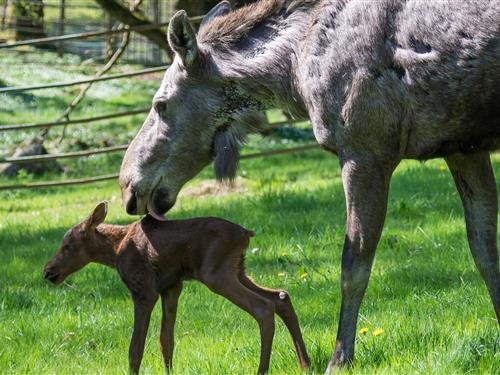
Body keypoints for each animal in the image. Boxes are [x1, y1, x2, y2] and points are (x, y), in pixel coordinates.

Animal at [44, 204, 308, 374]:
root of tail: (246, 234)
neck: (113, 251)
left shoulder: (143, 290)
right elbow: (166, 340)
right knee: (281, 297)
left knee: (263, 307)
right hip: (238, 271)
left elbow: (135, 347)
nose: (48, 271)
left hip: (216, 274)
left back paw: (262, 369)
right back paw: (304, 364)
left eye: (67, 246)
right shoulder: (171, 287)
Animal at [119, 0, 498, 374]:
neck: (295, 71)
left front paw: (340, 359)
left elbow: (354, 265)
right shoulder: (464, 149)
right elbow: (484, 253)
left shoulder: (365, 151)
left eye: (160, 103)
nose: (128, 185)